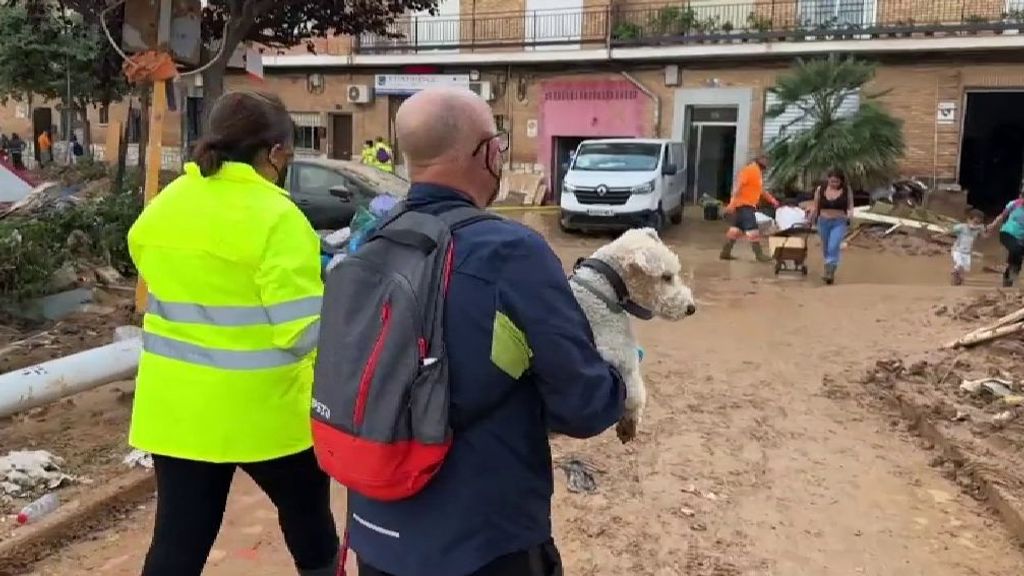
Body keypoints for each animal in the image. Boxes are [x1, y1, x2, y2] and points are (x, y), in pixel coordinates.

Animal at [569, 226, 696, 440]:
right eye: (666, 276)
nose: (691, 308)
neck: (604, 286)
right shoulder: (621, 355)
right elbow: (636, 391)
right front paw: (629, 423)